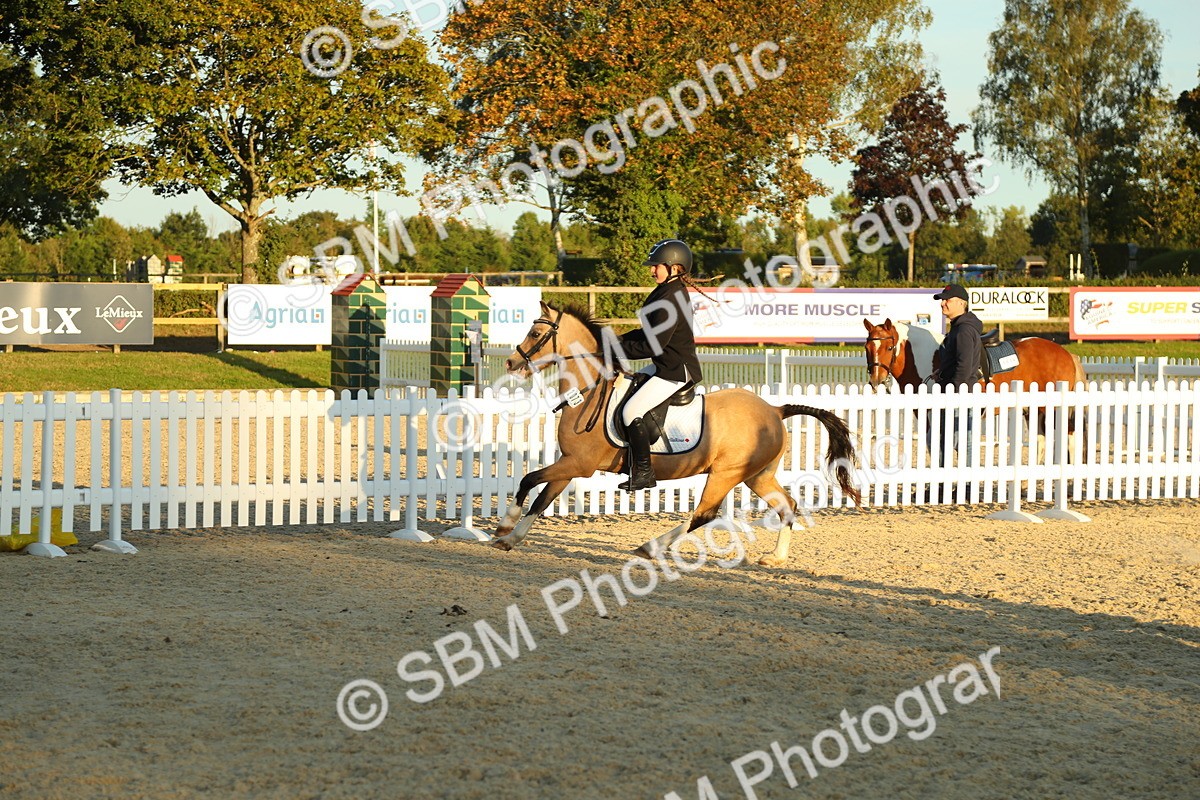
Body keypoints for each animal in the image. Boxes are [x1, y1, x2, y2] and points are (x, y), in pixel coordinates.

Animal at [492, 302, 862, 566]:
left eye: (535, 333)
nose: (510, 363)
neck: (590, 391)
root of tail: (774, 409)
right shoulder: (569, 464)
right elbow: (542, 498)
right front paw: (510, 538)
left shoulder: (579, 465)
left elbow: (527, 480)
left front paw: (505, 524)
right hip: (756, 475)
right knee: (787, 506)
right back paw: (776, 558)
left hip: (726, 473)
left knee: (704, 515)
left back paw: (651, 547)